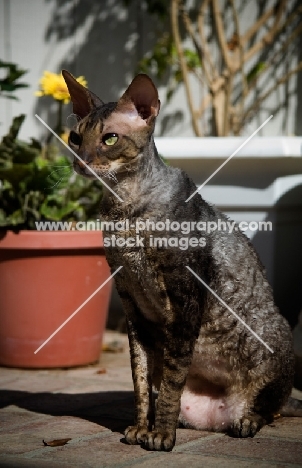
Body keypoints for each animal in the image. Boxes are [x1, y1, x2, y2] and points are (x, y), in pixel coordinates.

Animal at [62, 69, 300, 450]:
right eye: (75, 137)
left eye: (110, 139)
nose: (80, 159)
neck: (124, 212)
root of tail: (221, 414)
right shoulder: (132, 303)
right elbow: (141, 378)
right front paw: (141, 428)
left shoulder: (185, 299)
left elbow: (173, 377)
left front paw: (160, 435)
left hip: (275, 339)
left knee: (272, 406)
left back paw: (247, 420)